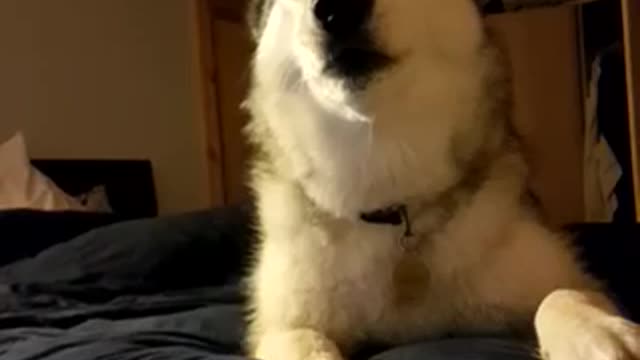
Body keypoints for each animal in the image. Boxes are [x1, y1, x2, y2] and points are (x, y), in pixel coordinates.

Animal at [241, 0, 640, 360]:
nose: (338, 9)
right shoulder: (283, 326)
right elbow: (301, 337)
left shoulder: (554, 274)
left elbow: (562, 295)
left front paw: (598, 332)